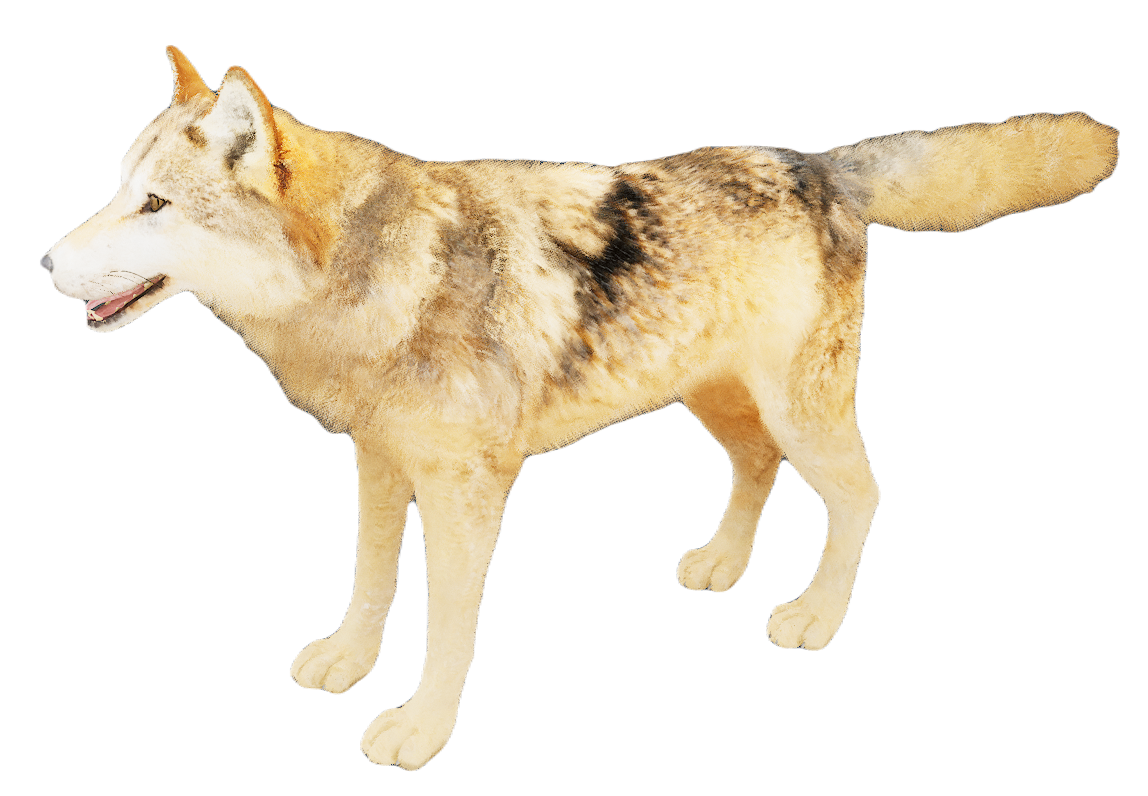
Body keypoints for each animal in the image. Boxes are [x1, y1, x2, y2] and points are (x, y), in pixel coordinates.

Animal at [40, 45, 1118, 770]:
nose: (45, 266)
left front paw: (420, 727)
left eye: (154, 206)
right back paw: (722, 565)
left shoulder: (469, 494)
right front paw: (347, 660)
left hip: (801, 412)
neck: (379, 277)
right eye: (119, 191)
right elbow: (370, 582)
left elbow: (446, 622)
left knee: (861, 495)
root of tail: (816, 161)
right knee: (757, 468)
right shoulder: (379, 464)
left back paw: (814, 614)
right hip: (715, 403)